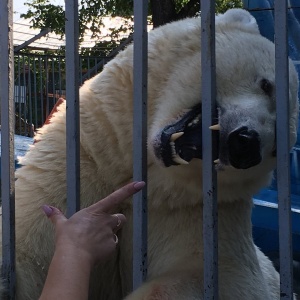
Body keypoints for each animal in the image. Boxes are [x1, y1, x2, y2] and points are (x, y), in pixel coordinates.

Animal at [1, 7, 298, 300]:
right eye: (267, 85)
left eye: (275, 148)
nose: (247, 145)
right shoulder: (79, 165)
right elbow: (30, 256)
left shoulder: (197, 214)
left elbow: (222, 278)